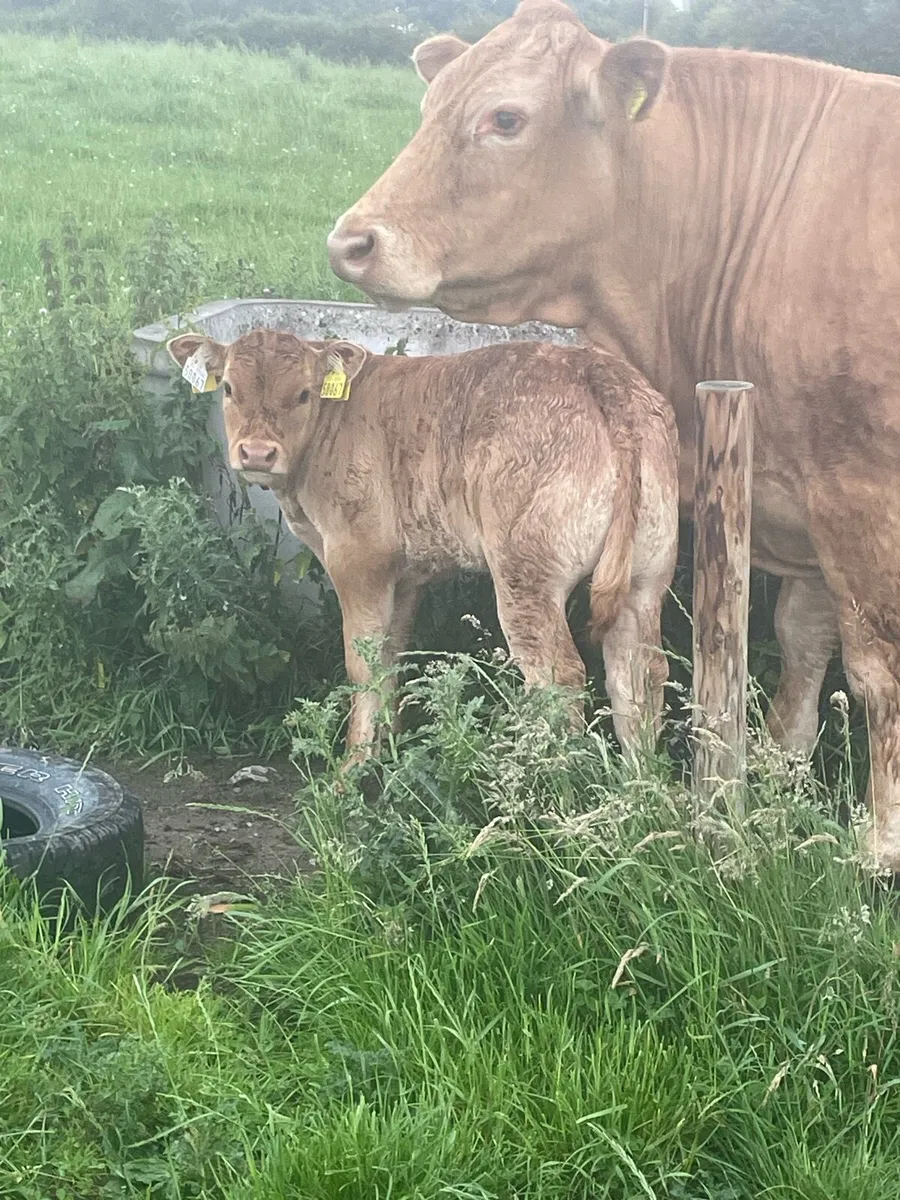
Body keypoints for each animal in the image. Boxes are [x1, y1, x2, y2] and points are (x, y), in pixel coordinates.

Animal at [167, 329, 678, 763]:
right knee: (639, 672)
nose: (256, 453)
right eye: (228, 389)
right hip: (647, 574)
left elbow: (362, 664)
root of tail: (600, 376)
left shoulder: (358, 558)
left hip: (526, 577)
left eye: (304, 394)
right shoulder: (406, 574)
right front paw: (387, 749)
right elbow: (392, 655)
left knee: (559, 674)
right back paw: (638, 781)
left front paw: (351, 769)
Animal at [327, 0, 900, 868]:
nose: (351, 242)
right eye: (429, 106)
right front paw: (774, 784)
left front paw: (877, 850)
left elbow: (877, 675)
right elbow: (803, 645)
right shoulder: (799, 501)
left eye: (506, 118)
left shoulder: (860, 501)